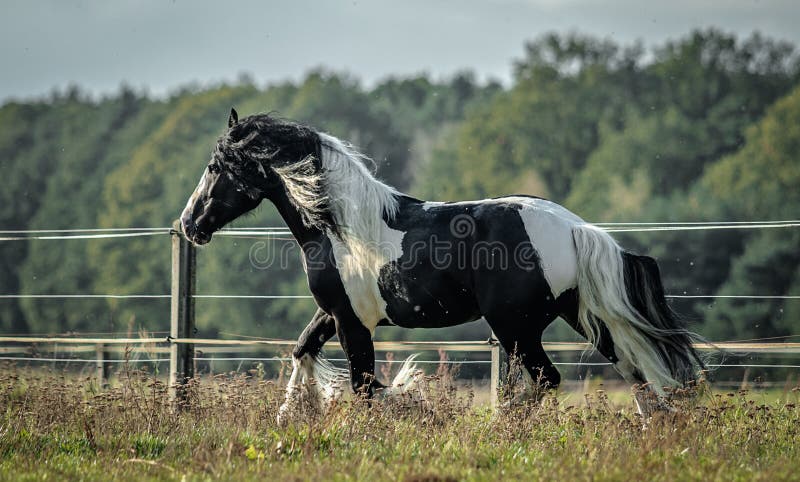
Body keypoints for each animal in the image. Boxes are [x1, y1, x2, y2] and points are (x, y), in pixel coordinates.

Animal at [180, 107, 700, 420]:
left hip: (515, 327)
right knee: (636, 371)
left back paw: (503, 430)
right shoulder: (334, 314)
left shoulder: (353, 322)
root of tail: (575, 228)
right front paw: (287, 421)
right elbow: (302, 351)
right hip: (578, 316)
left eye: (215, 167)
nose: (189, 224)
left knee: (548, 379)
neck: (341, 228)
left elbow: (364, 386)